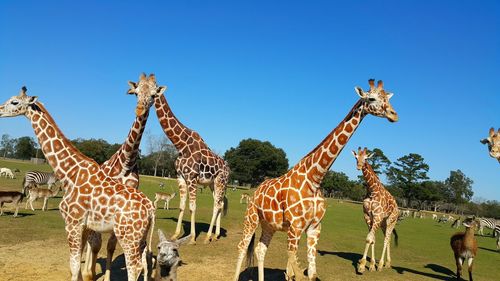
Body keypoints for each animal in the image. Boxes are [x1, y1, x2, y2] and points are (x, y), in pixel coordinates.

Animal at [0, 86, 155, 278]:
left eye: (14, 102)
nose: (0, 110)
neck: (70, 173)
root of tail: (151, 210)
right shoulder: (84, 226)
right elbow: (78, 265)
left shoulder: (72, 222)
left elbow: (74, 265)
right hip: (141, 236)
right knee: (145, 264)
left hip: (128, 236)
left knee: (134, 267)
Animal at [83, 72, 166, 280]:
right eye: (135, 92)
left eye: (153, 95)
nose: (139, 109)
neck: (126, 163)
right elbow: (96, 244)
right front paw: (90, 272)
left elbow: (111, 246)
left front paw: (105, 276)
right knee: (91, 240)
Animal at [154, 85, 230, 243]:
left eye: (153, 89)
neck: (181, 145)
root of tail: (229, 169)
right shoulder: (181, 177)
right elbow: (182, 206)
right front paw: (176, 234)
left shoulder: (192, 178)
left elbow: (192, 207)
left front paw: (193, 237)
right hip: (213, 184)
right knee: (220, 204)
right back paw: (215, 234)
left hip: (220, 182)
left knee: (216, 205)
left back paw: (207, 236)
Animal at [233, 79, 398, 280]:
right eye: (372, 98)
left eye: (387, 98)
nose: (394, 115)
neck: (315, 178)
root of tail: (256, 190)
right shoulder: (295, 228)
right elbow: (295, 271)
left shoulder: (314, 227)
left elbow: (311, 273)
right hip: (251, 217)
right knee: (242, 247)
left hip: (269, 225)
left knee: (260, 249)